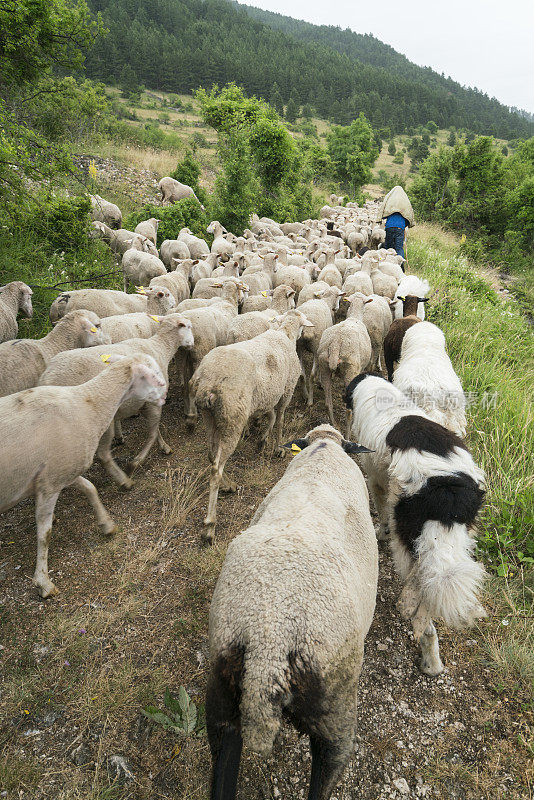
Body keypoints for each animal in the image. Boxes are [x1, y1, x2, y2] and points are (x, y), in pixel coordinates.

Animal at [0, 354, 168, 592]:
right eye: (152, 373)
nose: (165, 394)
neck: (88, 404)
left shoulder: (63, 471)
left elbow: (90, 488)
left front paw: (107, 523)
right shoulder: (50, 483)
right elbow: (44, 533)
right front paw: (43, 582)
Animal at [346, 376, 488, 676]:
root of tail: (445, 488)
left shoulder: (376, 480)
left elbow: (381, 513)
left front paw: (379, 533)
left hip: (406, 538)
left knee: (420, 593)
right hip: (456, 538)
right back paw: (432, 659)